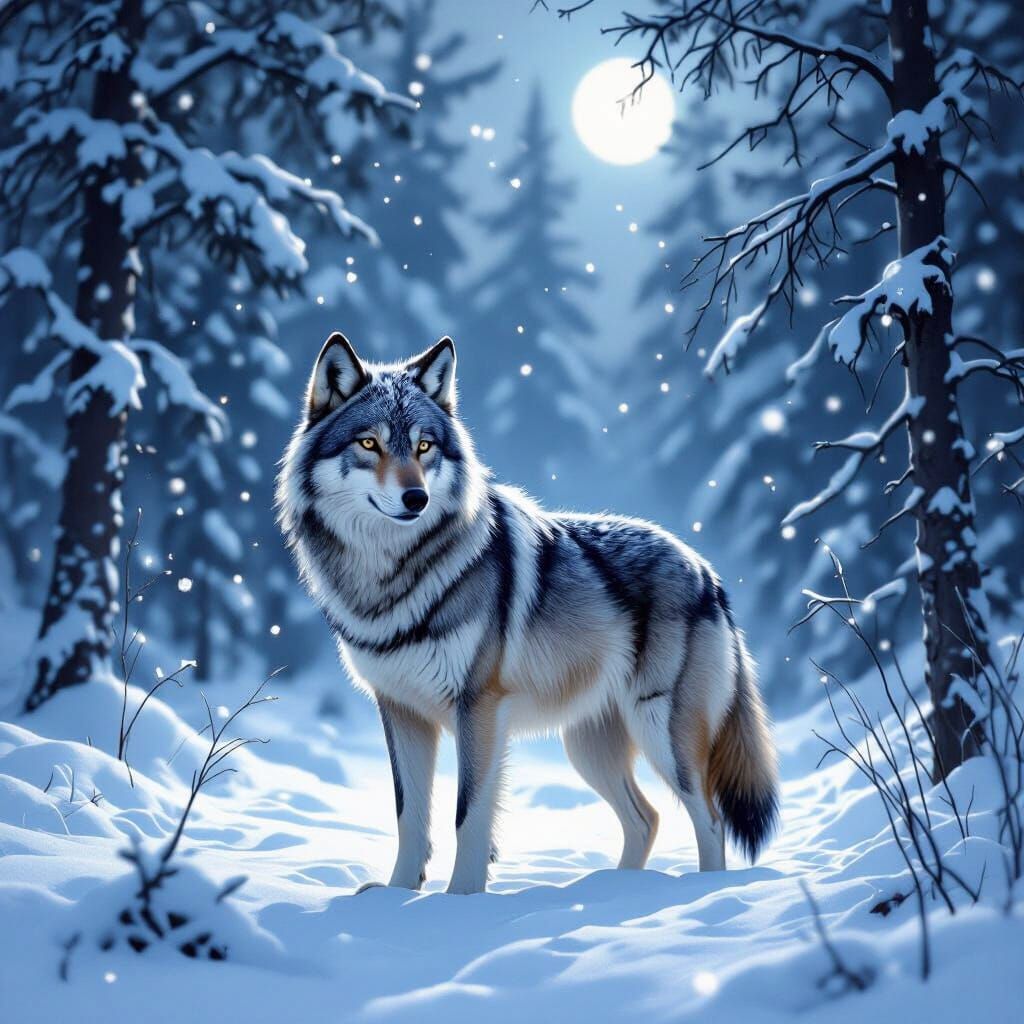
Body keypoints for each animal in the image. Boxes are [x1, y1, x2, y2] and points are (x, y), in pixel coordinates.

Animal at [277, 332, 779, 894]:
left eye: (425, 447)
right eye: (369, 444)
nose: (416, 498)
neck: (390, 579)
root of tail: (706, 570)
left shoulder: (478, 709)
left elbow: (468, 816)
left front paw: (459, 899)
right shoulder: (401, 711)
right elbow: (410, 816)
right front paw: (396, 895)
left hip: (660, 731)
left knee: (709, 819)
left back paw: (702, 893)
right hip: (587, 749)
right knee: (646, 818)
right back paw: (616, 894)